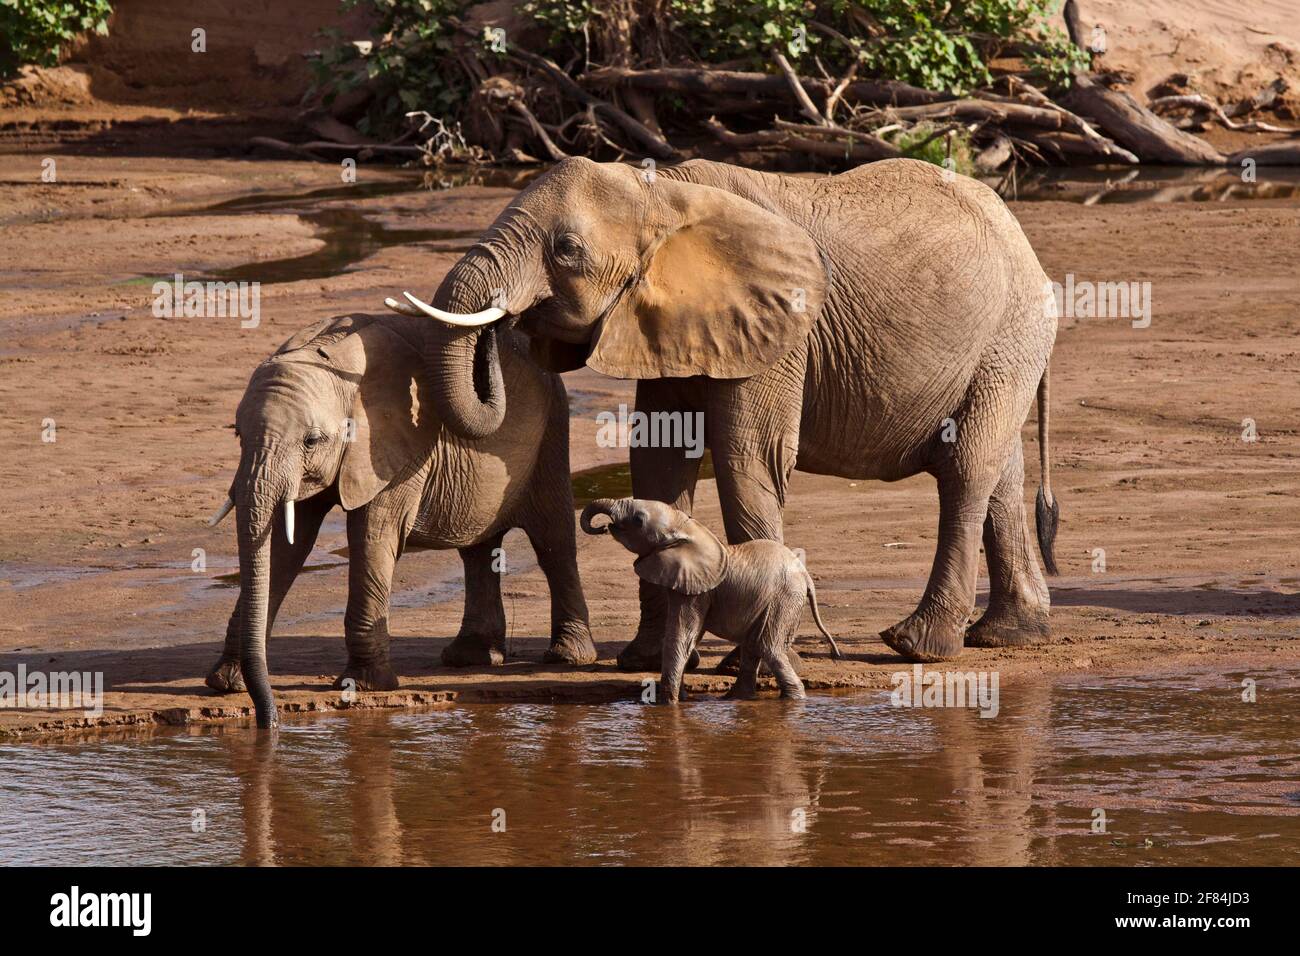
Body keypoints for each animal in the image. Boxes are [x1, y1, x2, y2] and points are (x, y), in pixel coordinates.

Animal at [204, 310, 595, 728]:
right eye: (238, 435)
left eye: (311, 441)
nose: (270, 722)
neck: (329, 356)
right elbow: (286, 545)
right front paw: (226, 683)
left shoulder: (397, 448)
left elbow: (372, 535)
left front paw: (364, 686)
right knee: (477, 550)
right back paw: (469, 658)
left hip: (552, 431)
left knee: (553, 539)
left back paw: (566, 657)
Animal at [382, 155, 1055, 671]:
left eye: (566, 249)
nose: (503, 332)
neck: (662, 193)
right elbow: (657, 455)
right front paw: (644, 659)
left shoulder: (779, 326)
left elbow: (747, 458)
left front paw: (740, 662)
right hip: (1006, 344)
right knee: (1000, 474)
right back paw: (1010, 635)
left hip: (1010, 333)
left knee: (966, 471)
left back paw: (917, 646)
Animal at [579, 496, 842, 697]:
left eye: (638, 520)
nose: (603, 527)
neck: (687, 527)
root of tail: (806, 576)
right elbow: (689, 637)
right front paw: (681, 698)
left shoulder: (696, 591)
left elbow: (681, 635)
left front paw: (669, 703)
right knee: (753, 646)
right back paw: (735, 699)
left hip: (784, 599)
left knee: (768, 647)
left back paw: (793, 699)